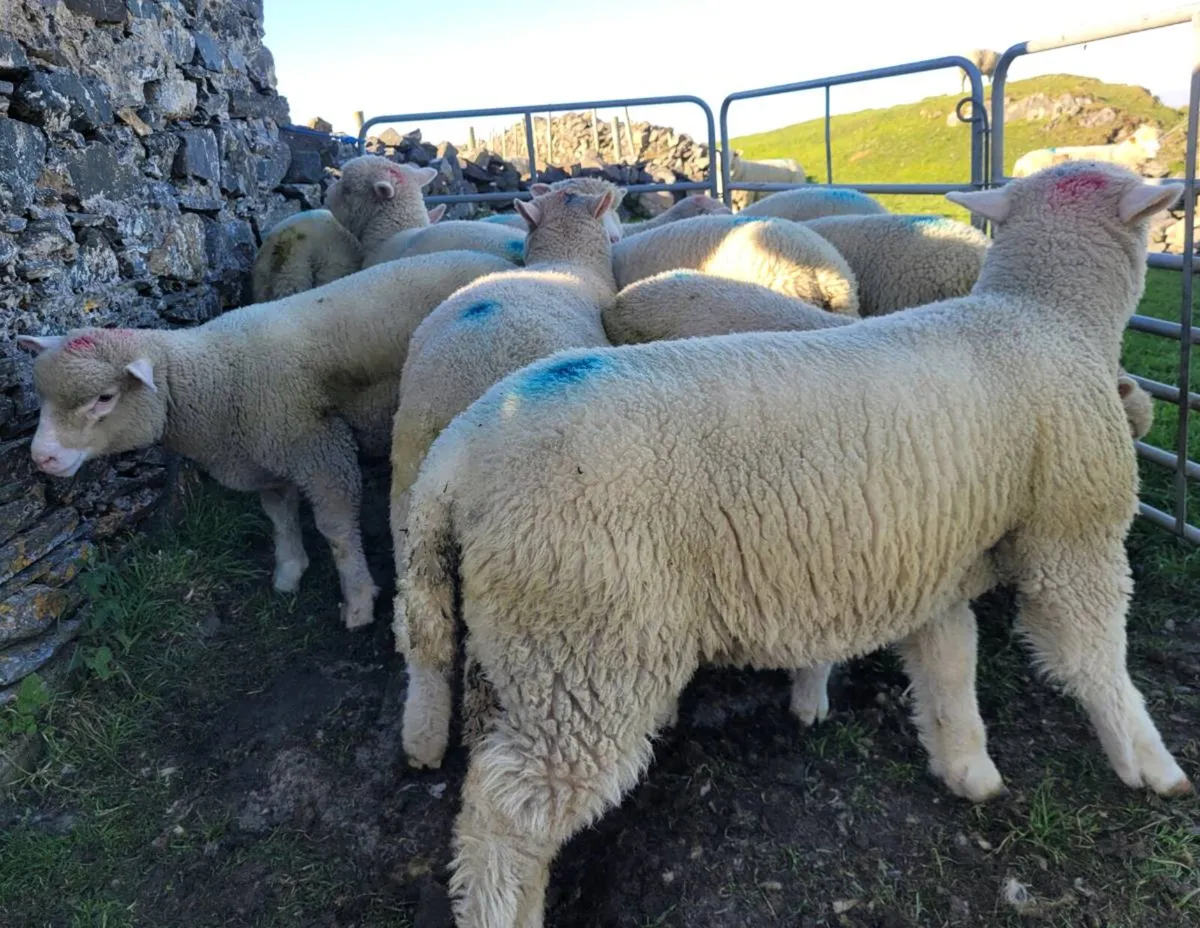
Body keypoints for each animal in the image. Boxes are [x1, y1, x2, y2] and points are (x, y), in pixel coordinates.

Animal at [16, 250, 510, 632]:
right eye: (41, 397)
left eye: (104, 398)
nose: (42, 457)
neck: (211, 377)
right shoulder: (265, 454)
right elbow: (280, 516)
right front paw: (289, 571)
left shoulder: (319, 448)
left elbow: (336, 531)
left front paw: (358, 600)